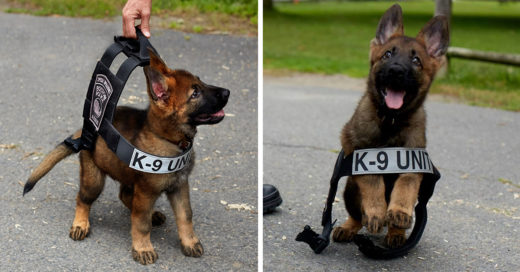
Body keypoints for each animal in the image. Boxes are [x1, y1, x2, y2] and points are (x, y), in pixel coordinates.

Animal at [22, 50, 230, 264]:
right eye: (195, 94)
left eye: (201, 81)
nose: (227, 92)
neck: (169, 140)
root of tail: (86, 129)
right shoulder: (146, 192)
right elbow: (141, 223)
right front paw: (143, 248)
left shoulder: (179, 186)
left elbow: (185, 216)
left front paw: (189, 242)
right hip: (94, 179)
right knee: (84, 199)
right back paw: (80, 224)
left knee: (125, 196)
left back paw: (152, 214)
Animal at [334, 4, 446, 248]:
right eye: (387, 54)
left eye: (416, 61)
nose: (396, 70)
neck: (391, 121)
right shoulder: (360, 153)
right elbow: (373, 182)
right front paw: (376, 212)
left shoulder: (413, 160)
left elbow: (405, 186)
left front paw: (399, 213)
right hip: (350, 189)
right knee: (357, 216)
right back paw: (350, 227)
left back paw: (396, 232)